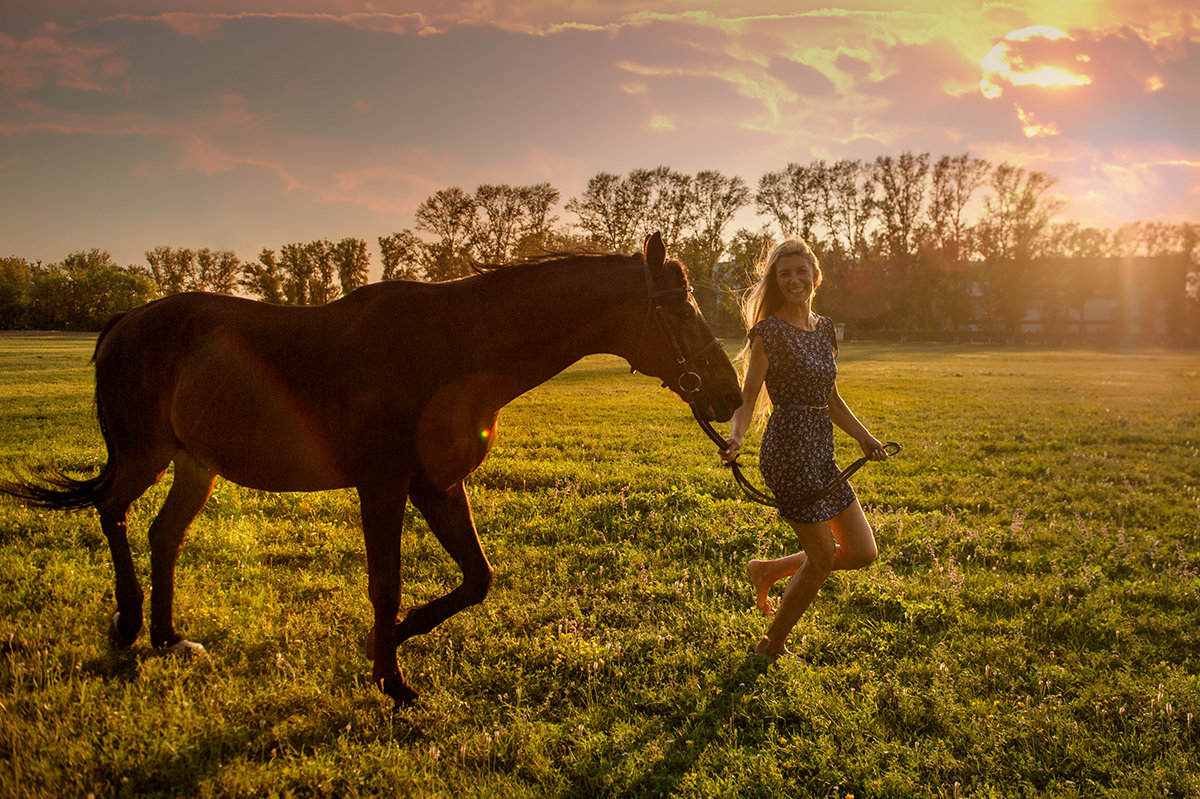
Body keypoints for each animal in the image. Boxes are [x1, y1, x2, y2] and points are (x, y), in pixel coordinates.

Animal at [2, 230, 739, 705]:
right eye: (679, 309)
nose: (730, 394)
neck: (453, 346)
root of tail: (128, 318)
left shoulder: (437, 485)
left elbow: (478, 579)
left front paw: (396, 642)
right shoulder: (383, 485)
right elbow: (386, 584)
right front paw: (393, 677)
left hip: (194, 465)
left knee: (164, 535)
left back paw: (168, 636)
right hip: (145, 453)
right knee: (113, 512)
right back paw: (130, 626)